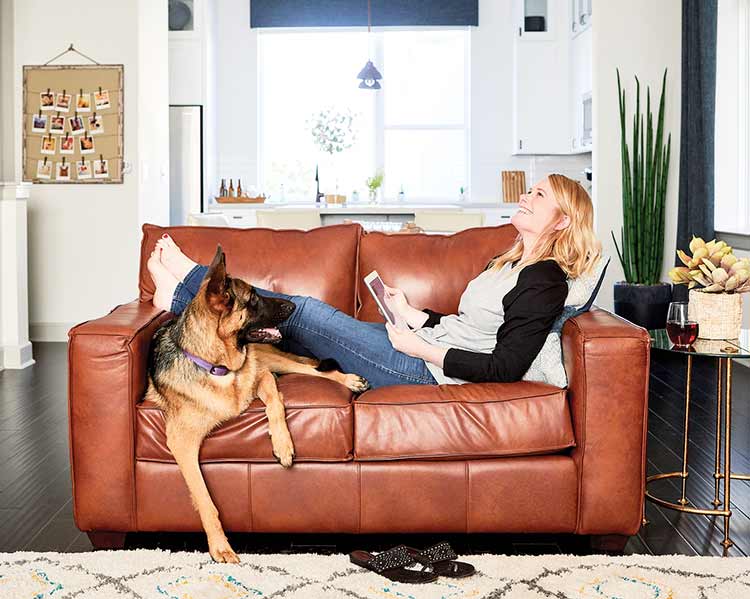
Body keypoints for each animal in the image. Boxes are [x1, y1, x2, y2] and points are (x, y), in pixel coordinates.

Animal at [144, 246, 370, 564]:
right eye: (252, 298)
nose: (293, 305)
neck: (220, 367)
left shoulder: (262, 375)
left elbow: (276, 403)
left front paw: (283, 445)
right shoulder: (182, 443)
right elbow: (204, 498)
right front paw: (220, 545)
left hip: (272, 360)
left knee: (313, 369)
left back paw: (349, 380)